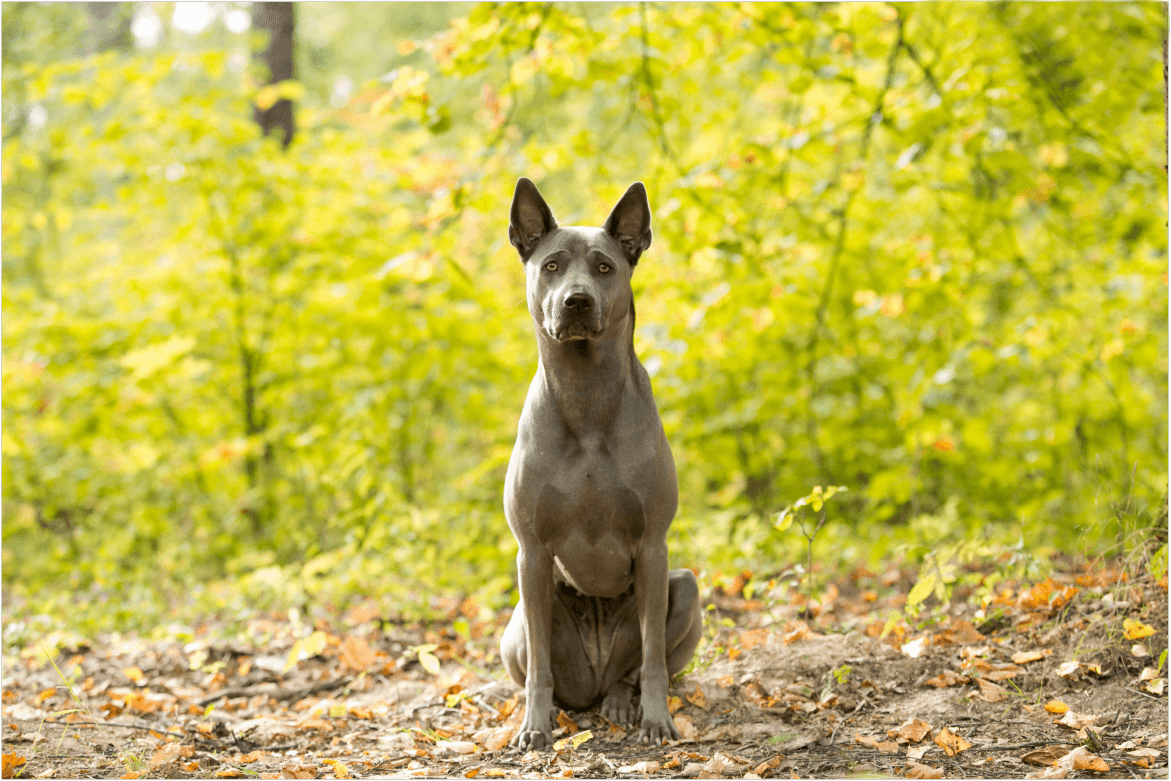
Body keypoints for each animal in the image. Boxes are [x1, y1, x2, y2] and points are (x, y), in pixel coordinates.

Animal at [496, 180, 697, 749]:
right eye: (551, 265)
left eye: (605, 267)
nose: (577, 301)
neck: (586, 396)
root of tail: (594, 683)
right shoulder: (531, 553)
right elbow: (540, 669)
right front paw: (534, 727)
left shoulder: (653, 547)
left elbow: (652, 659)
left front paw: (657, 719)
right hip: (518, 623)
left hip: (686, 587)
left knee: (635, 669)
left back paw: (623, 701)